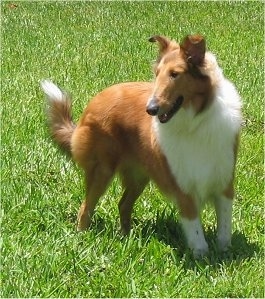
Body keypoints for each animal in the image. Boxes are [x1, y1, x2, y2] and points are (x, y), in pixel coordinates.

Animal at [40, 34, 241, 258]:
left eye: (175, 74)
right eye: (157, 74)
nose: (150, 109)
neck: (195, 121)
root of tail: (93, 102)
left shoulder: (224, 183)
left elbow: (225, 227)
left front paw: (224, 252)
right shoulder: (183, 186)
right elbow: (195, 230)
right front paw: (201, 256)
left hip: (139, 176)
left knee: (123, 204)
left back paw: (125, 237)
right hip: (102, 170)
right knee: (85, 208)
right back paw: (82, 238)